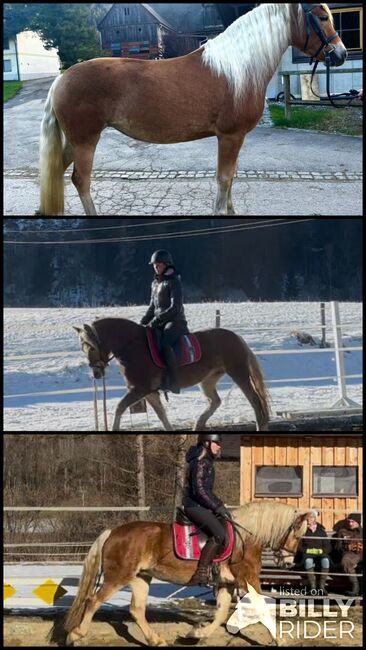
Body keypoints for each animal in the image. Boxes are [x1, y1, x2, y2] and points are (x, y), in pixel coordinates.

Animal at [37, 3, 346, 215]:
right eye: (322, 17)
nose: (340, 54)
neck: (238, 68)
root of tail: (62, 79)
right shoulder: (230, 136)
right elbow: (224, 178)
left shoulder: (234, 139)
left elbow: (231, 177)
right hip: (86, 141)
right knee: (81, 180)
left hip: (75, 141)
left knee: (57, 171)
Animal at [63, 498, 312, 640]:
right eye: (297, 533)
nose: (288, 562)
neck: (246, 537)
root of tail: (113, 532)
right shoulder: (247, 581)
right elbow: (263, 610)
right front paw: (279, 640)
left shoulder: (226, 584)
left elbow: (222, 613)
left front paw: (197, 633)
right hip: (117, 577)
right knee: (93, 601)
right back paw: (76, 635)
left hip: (140, 578)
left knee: (136, 610)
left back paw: (156, 640)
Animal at [73, 316, 270, 430]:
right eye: (82, 347)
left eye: (91, 346)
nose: (96, 373)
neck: (132, 346)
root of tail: (236, 337)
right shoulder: (149, 392)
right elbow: (162, 415)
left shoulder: (139, 390)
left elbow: (120, 407)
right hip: (208, 380)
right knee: (215, 401)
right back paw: (198, 424)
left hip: (239, 373)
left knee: (255, 401)